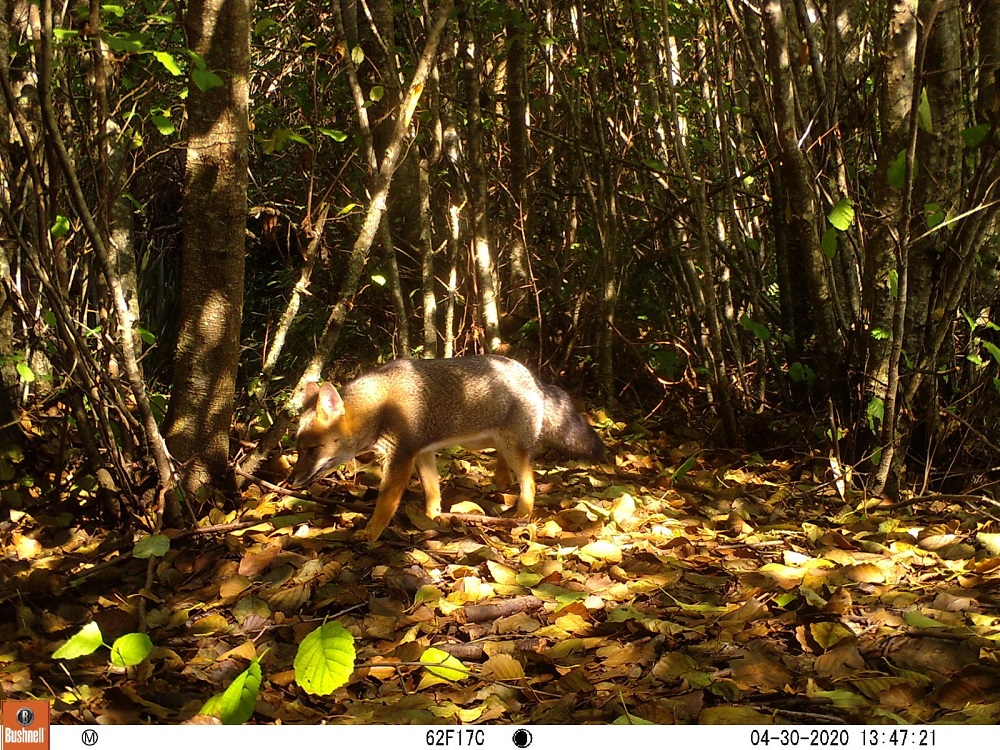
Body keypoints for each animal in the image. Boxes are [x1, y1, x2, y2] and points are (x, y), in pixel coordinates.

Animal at [286, 356, 604, 544]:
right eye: (298, 449)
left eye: (311, 450)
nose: (291, 481)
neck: (380, 407)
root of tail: (533, 377)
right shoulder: (421, 452)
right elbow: (431, 490)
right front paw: (430, 516)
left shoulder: (400, 458)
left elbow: (385, 504)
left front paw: (371, 533)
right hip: (483, 441)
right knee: (508, 465)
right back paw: (501, 480)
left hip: (511, 445)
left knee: (530, 482)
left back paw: (522, 515)